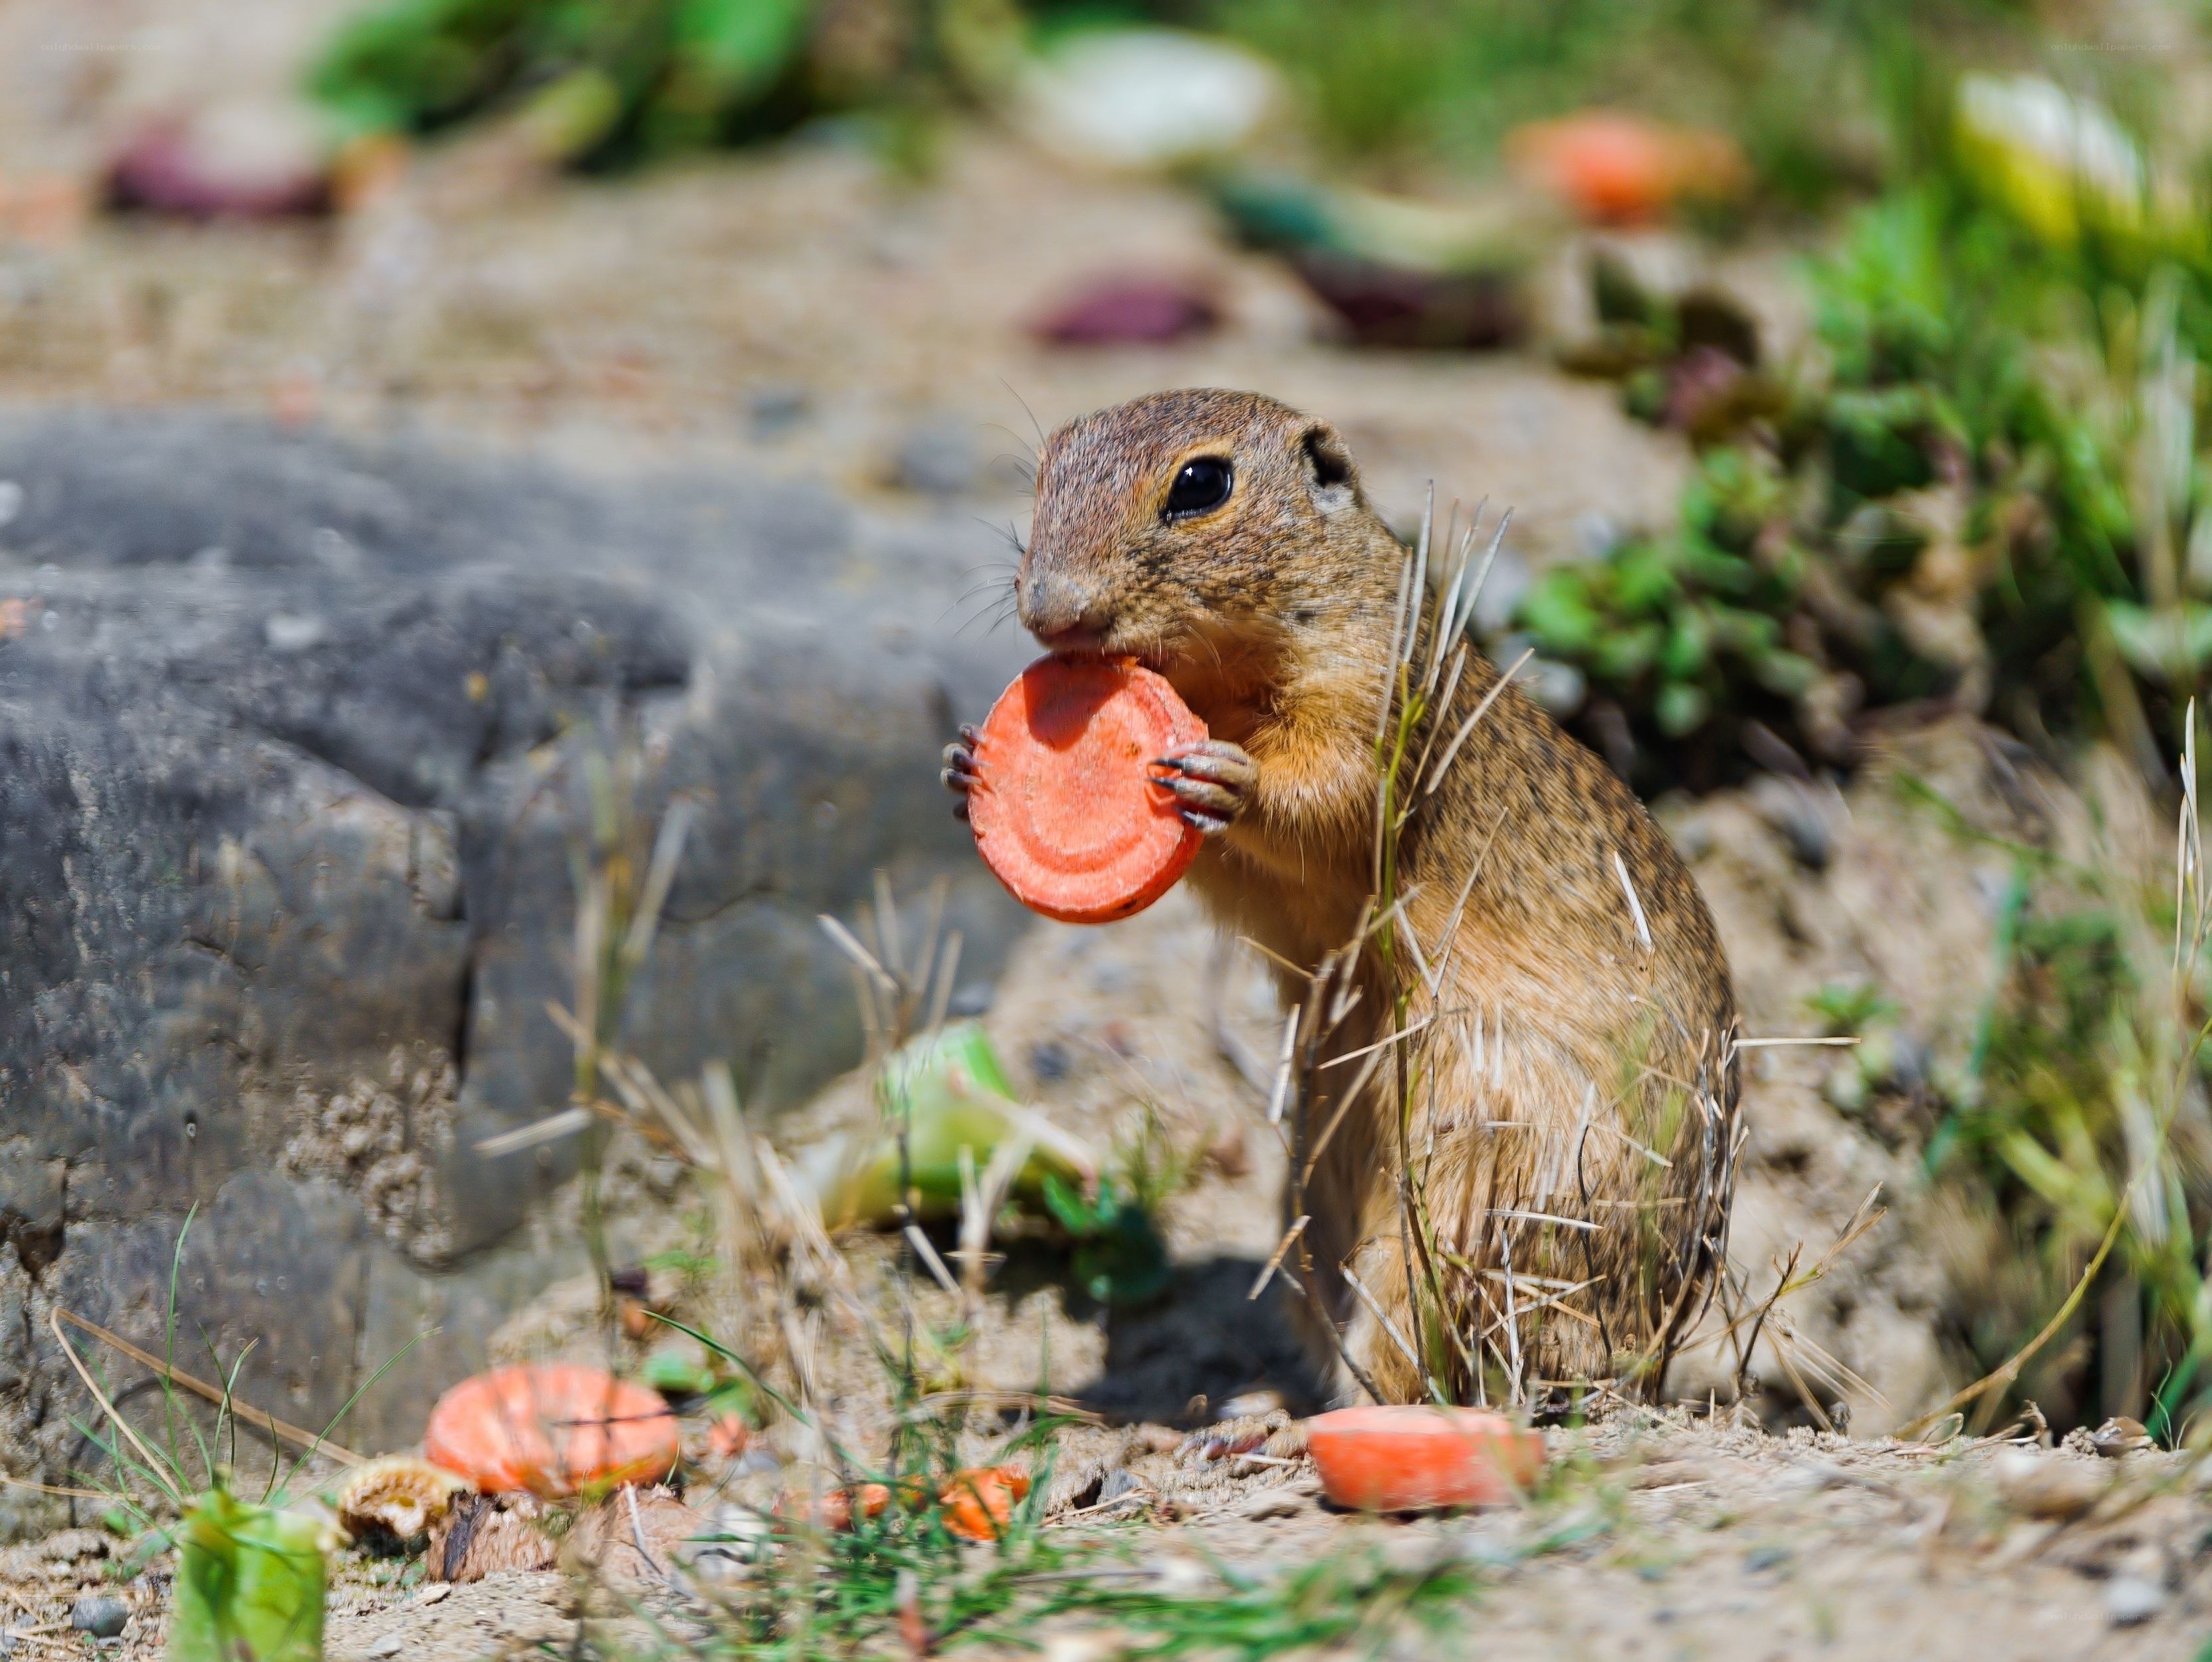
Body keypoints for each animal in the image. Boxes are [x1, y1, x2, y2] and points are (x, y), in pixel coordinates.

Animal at [945, 389, 1739, 1405]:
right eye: (1046, 465)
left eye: (1201, 484)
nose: (1049, 610)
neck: (1222, 681)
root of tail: (1645, 1362)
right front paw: (967, 761)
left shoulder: (1368, 703)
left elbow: (1328, 797)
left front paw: (1227, 780)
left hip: (1460, 1206)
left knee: (1416, 1363)